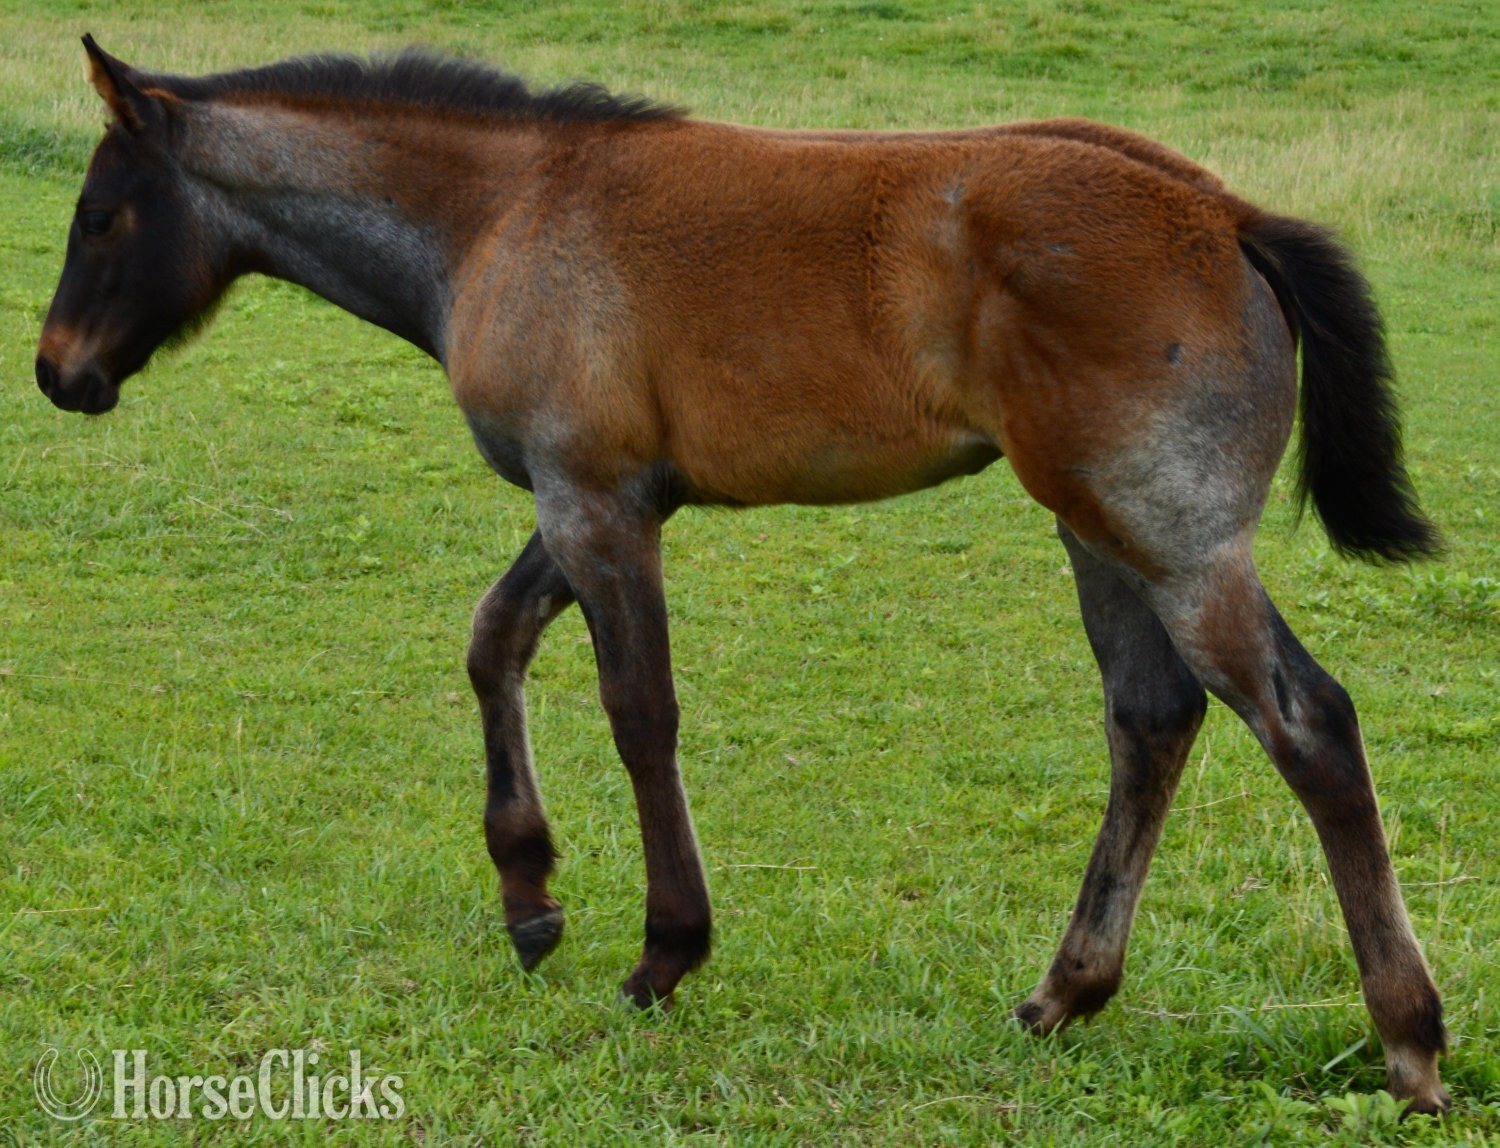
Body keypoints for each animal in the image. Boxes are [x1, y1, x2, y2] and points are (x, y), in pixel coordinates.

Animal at [37, 36, 1450, 1113]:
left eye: (100, 214)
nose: (58, 371)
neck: (500, 216)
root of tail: (1228, 214)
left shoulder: (596, 501)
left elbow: (638, 711)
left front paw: (665, 951)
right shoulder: (593, 495)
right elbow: (494, 640)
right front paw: (529, 895)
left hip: (1174, 538)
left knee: (1309, 724)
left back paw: (1411, 1042)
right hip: (1096, 528)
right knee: (1152, 718)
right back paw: (1064, 993)